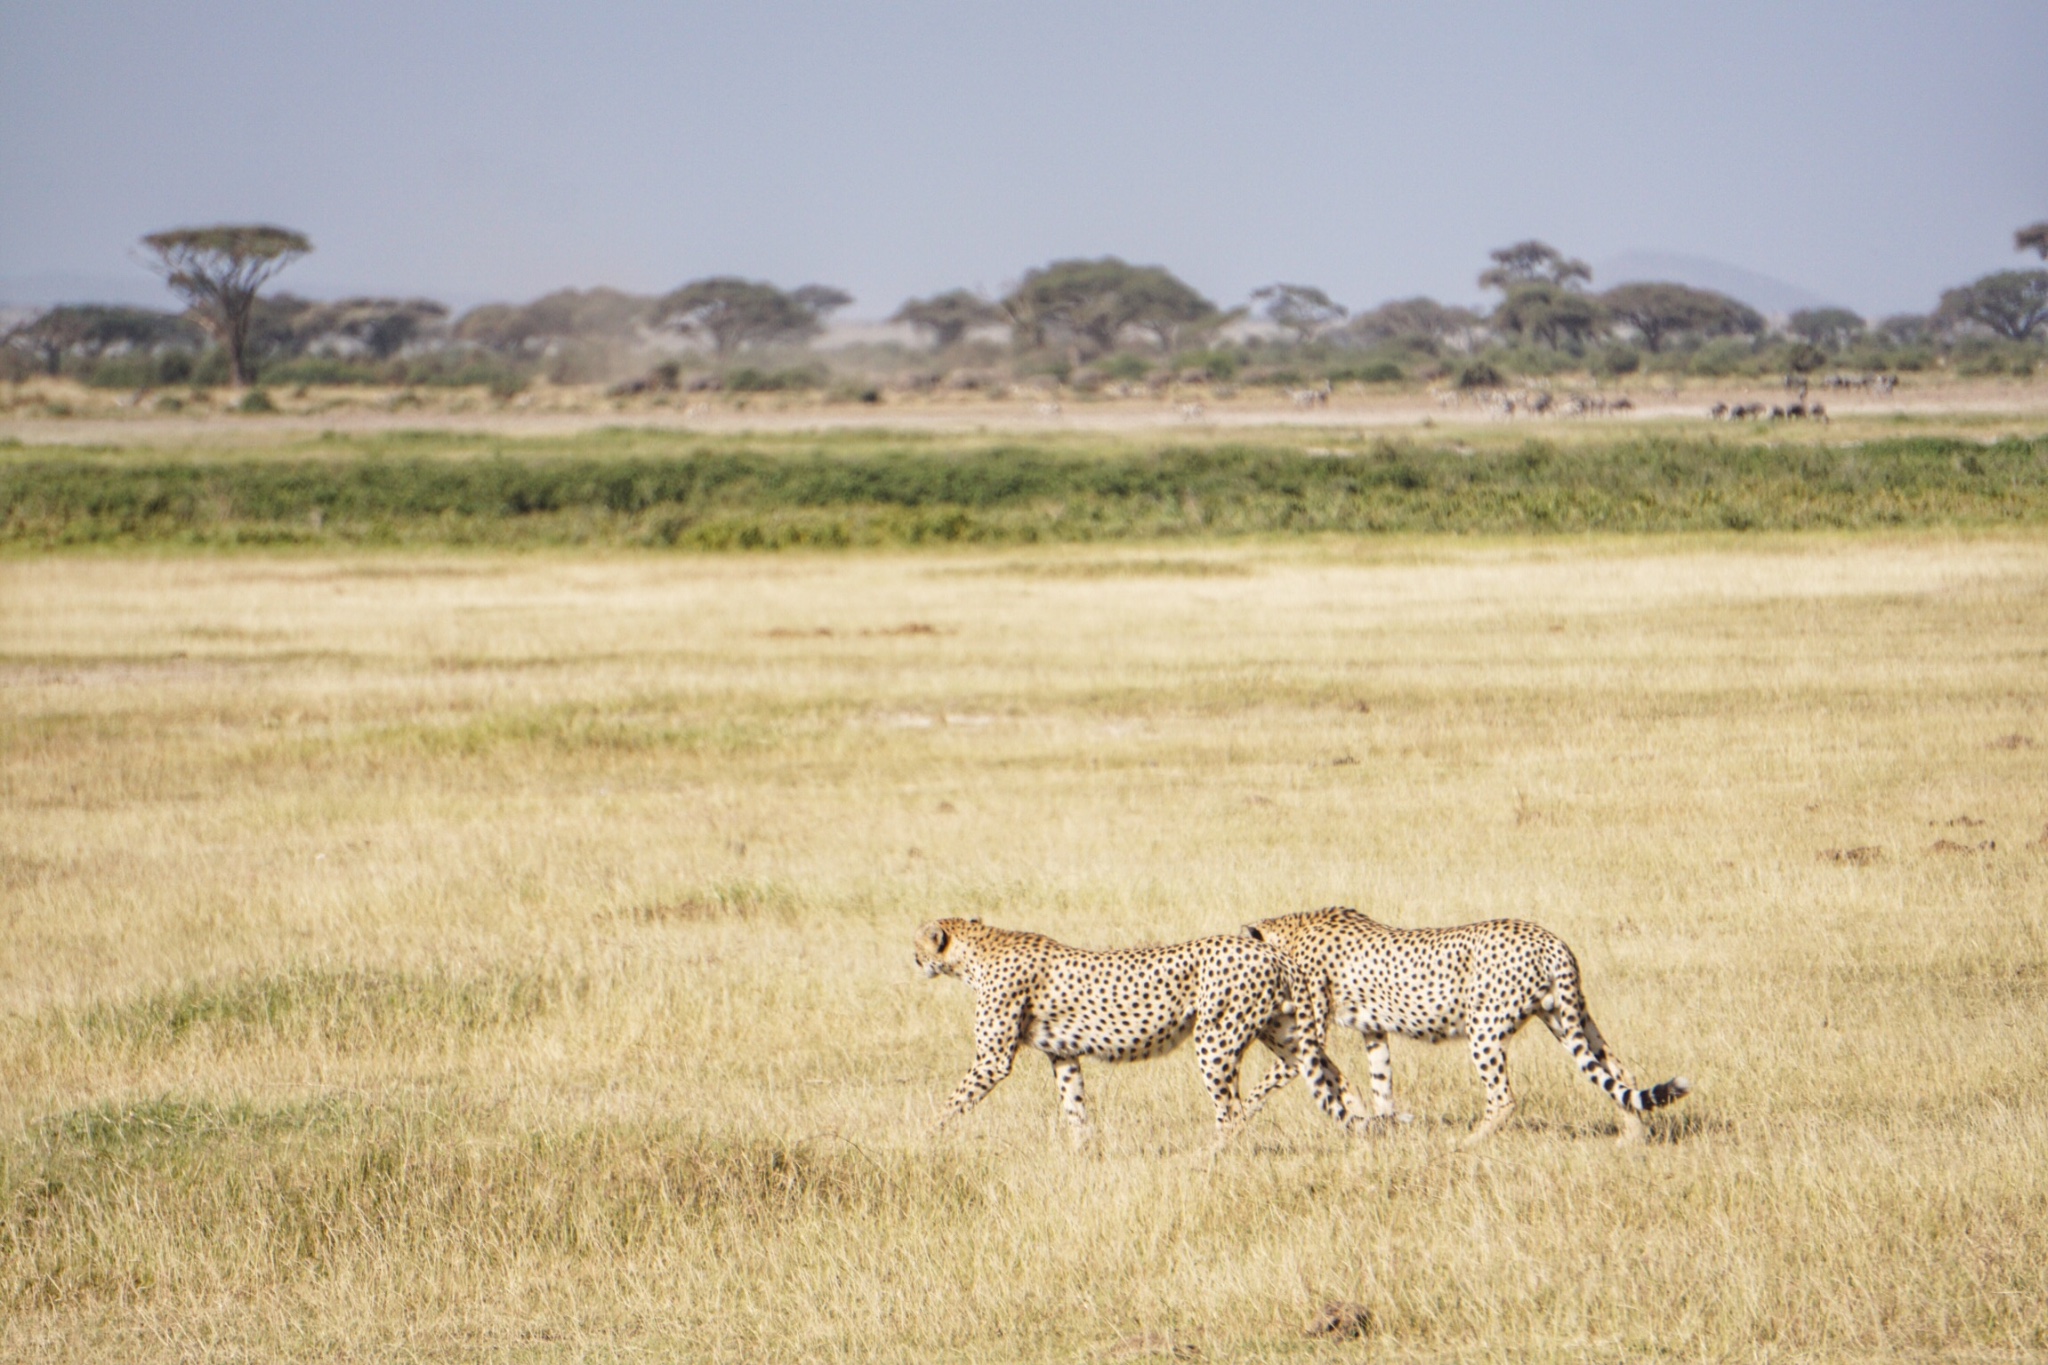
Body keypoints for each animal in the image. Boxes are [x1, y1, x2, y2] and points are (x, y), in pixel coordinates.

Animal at [917, 916, 1359, 1154]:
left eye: (917, 945)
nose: (913, 959)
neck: (978, 951)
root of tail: (1271, 951)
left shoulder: (992, 1061)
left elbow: (952, 1103)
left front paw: (921, 1138)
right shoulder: (1063, 1054)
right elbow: (1075, 1106)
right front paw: (1082, 1153)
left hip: (1215, 1038)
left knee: (1232, 1110)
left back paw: (1206, 1158)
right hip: (1282, 1031)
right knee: (1330, 1073)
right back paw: (1363, 1129)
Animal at [1236, 912, 1687, 1146]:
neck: (1291, 934)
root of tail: (1550, 938)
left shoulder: (1309, 1037)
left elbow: (1277, 1079)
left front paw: (1240, 1114)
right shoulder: (1373, 1031)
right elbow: (1380, 1082)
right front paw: (1379, 1124)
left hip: (1484, 1028)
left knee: (1504, 1098)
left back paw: (1466, 1144)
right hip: (1566, 1017)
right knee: (1618, 1071)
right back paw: (1632, 1136)